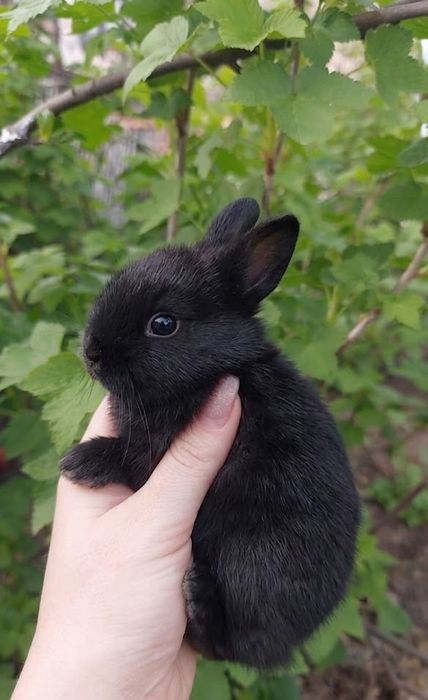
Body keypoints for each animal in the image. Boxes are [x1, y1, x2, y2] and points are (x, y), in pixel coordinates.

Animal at [61, 197, 361, 669]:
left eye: (163, 324)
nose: (90, 352)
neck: (213, 371)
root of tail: (288, 643)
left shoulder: (153, 452)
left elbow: (129, 458)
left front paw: (81, 461)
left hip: (250, 563)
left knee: (224, 644)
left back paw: (198, 595)